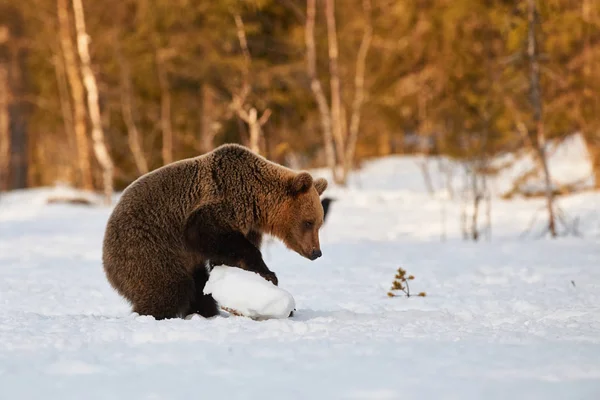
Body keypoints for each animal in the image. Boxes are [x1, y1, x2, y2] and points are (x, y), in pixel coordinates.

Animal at [102, 142, 328, 320]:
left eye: (319, 222)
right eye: (308, 222)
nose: (316, 252)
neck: (257, 202)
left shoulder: (248, 225)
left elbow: (228, 256)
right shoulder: (222, 203)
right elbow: (207, 233)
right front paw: (268, 275)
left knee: (197, 286)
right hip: (148, 247)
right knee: (169, 287)